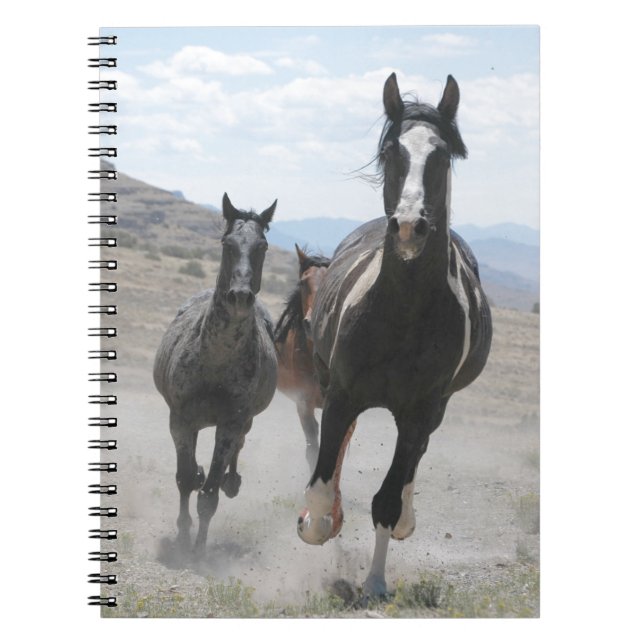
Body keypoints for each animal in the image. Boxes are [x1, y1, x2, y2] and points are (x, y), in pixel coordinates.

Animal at [153, 193, 278, 554]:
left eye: (262, 246)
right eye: (227, 243)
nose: (240, 297)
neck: (216, 360)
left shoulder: (231, 422)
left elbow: (208, 494)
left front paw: (198, 550)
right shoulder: (180, 419)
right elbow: (184, 480)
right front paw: (183, 536)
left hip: (243, 422)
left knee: (236, 452)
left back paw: (231, 480)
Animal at [297, 73, 493, 599]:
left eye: (442, 156)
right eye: (390, 152)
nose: (409, 226)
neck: (401, 313)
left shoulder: (421, 410)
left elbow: (386, 498)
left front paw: (376, 581)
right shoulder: (342, 394)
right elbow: (322, 482)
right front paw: (318, 522)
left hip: (434, 410)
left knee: (411, 463)